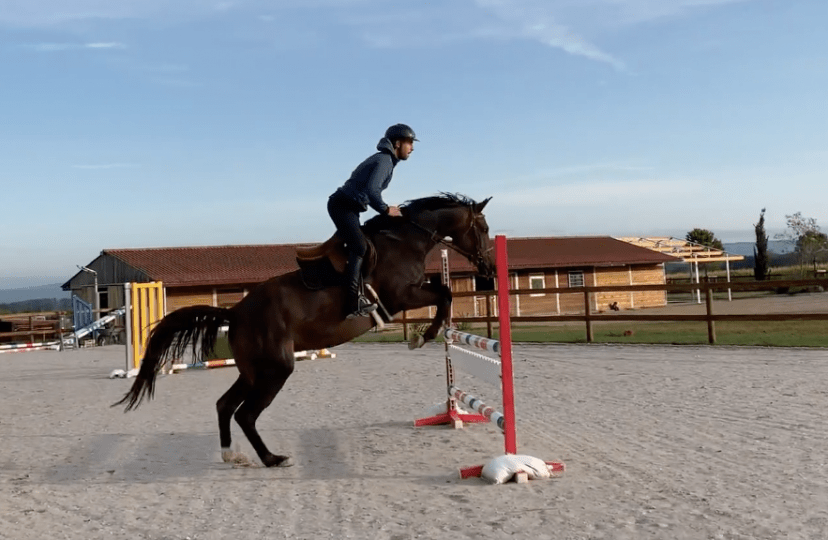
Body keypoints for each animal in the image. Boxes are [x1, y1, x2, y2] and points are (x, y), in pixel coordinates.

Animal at [113, 192, 494, 466]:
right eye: (485, 229)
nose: (489, 268)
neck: (405, 240)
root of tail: (235, 312)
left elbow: (443, 291)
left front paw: (424, 334)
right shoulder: (402, 295)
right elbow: (444, 294)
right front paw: (423, 336)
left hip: (255, 370)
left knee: (225, 405)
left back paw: (231, 455)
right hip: (277, 369)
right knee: (246, 414)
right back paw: (271, 458)